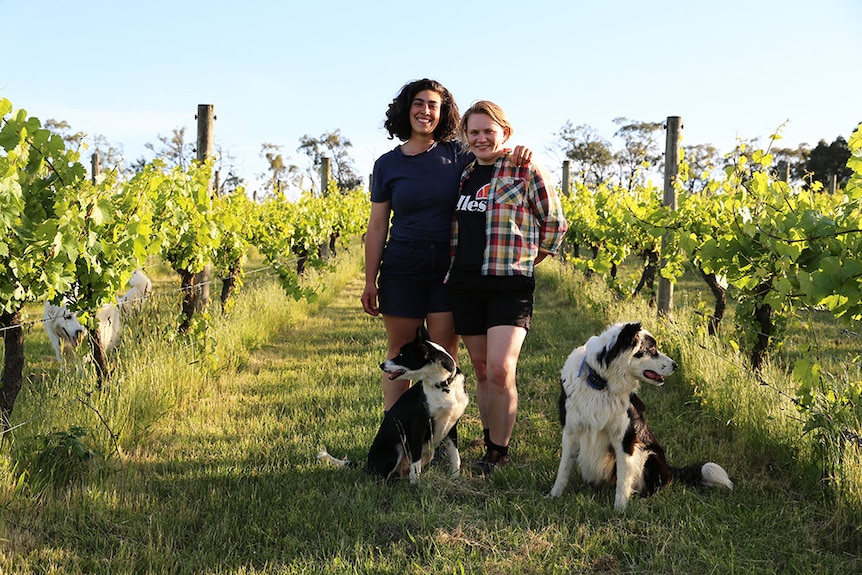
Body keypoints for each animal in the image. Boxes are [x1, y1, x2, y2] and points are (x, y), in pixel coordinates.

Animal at [318, 326, 470, 484]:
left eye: (402, 354)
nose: (381, 365)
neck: (443, 385)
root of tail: (367, 465)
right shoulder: (418, 427)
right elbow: (415, 464)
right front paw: (416, 485)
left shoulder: (451, 426)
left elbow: (455, 457)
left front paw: (455, 478)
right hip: (396, 448)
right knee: (382, 477)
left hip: (427, 452)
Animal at [552, 324, 732, 512]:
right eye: (651, 349)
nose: (675, 365)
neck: (600, 383)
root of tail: (669, 469)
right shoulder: (571, 431)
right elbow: (563, 468)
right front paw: (553, 496)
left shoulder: (626, 439)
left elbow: (623, 479)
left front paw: (619, 509)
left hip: (650, 455)